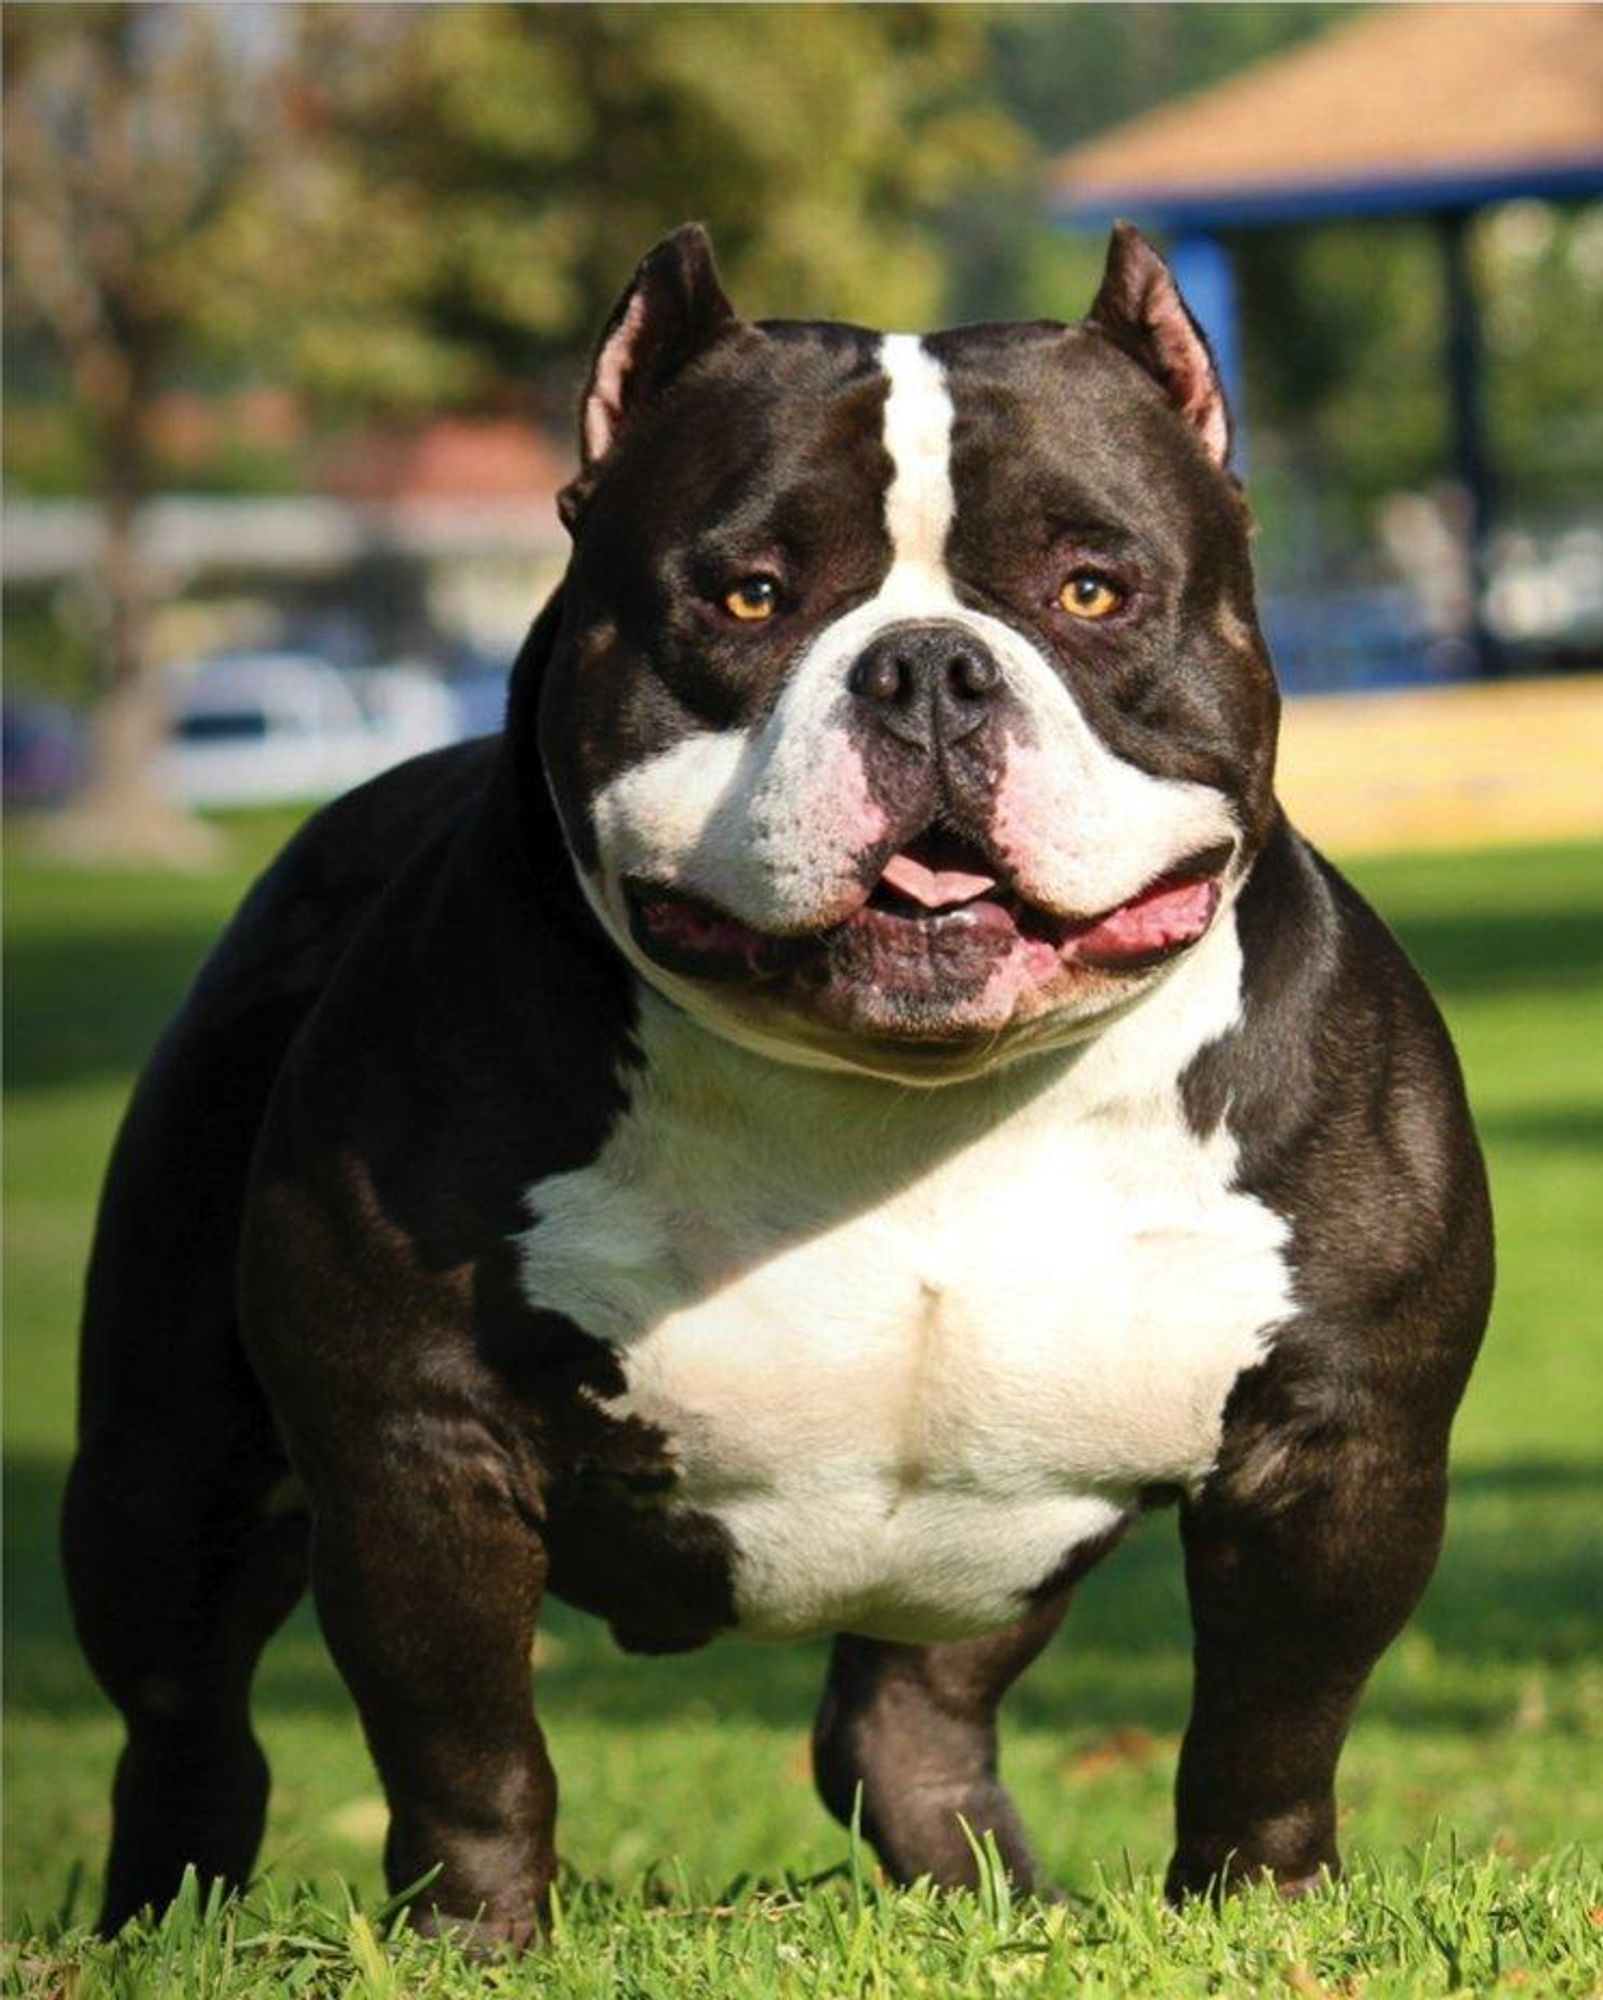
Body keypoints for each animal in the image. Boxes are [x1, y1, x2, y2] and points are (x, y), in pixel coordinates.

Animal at [62, 227, 1487, 1944]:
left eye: (1090, 588)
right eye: (746, 593)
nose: (928, 669)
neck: (914, 1106)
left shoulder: (1335, 1448)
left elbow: (1272, 1726)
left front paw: (1259, 1917)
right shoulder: (416, 1444)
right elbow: (463, 1744)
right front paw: (476, 1939)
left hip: (988, 1547)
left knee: (903, 1721)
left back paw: (1000, 1906)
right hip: (163, 1479)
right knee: (185, 1723)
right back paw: (153, 1928)